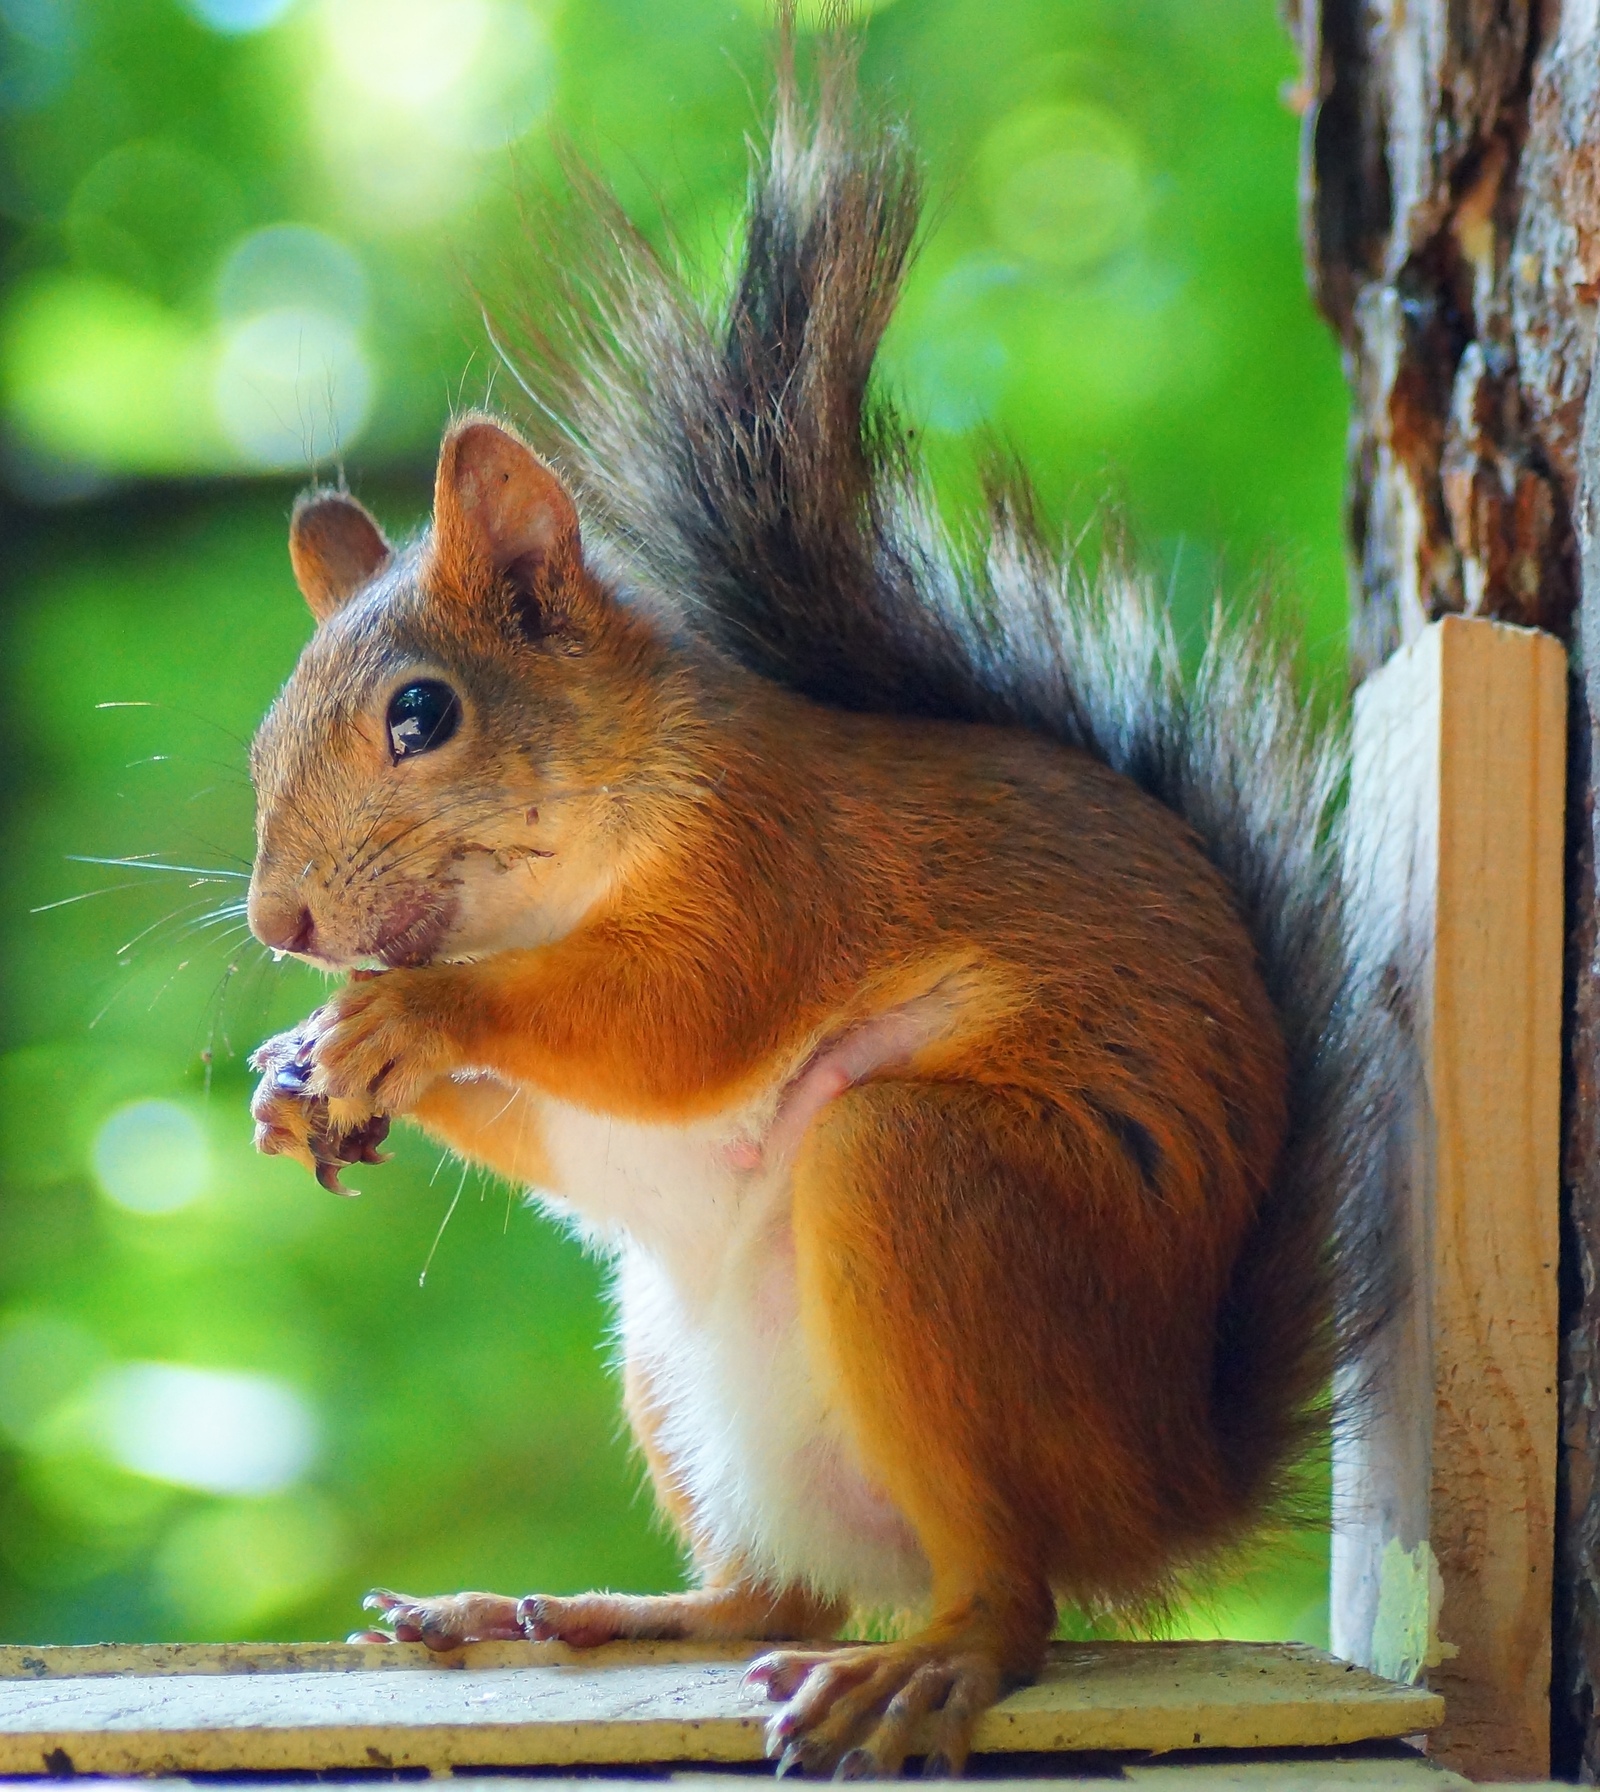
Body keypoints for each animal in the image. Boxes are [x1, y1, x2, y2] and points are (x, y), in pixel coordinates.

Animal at [243, 34, 1390, 1784]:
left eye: (421, 717)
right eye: (260, 743)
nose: (283, 927)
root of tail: (1166, 1488)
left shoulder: (779, 867)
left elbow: (676, 1026)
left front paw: (407, 1021)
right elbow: (563, 1122)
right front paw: (301, 1074)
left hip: (932, 1198)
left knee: (1004, 1597)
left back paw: (925, 1666)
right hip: (672, 1359)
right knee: (768, 1594)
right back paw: (568, 1614)